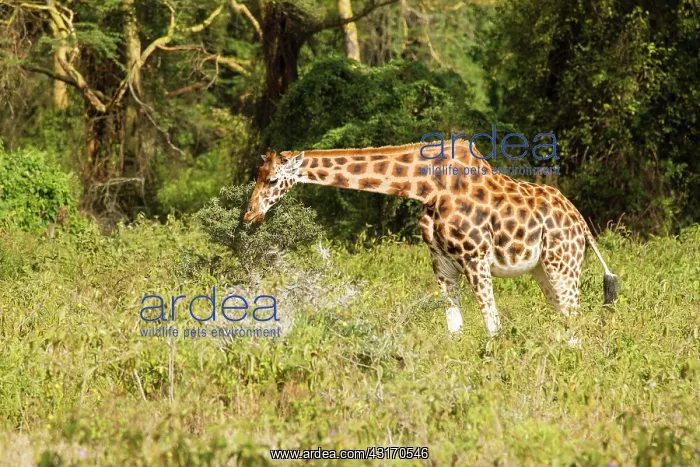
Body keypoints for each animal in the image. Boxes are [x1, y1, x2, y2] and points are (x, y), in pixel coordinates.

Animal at [243, 140, 619, 336]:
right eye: (257, 176)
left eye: (273, 181)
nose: (250, 215)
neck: (427, 187)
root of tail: (581, 222)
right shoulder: (442, 264)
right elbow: (454, 327)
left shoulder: (476, 259)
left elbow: (492, 325)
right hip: (543, 269)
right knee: (564, 316)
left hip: (563, 263)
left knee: (574, 317)